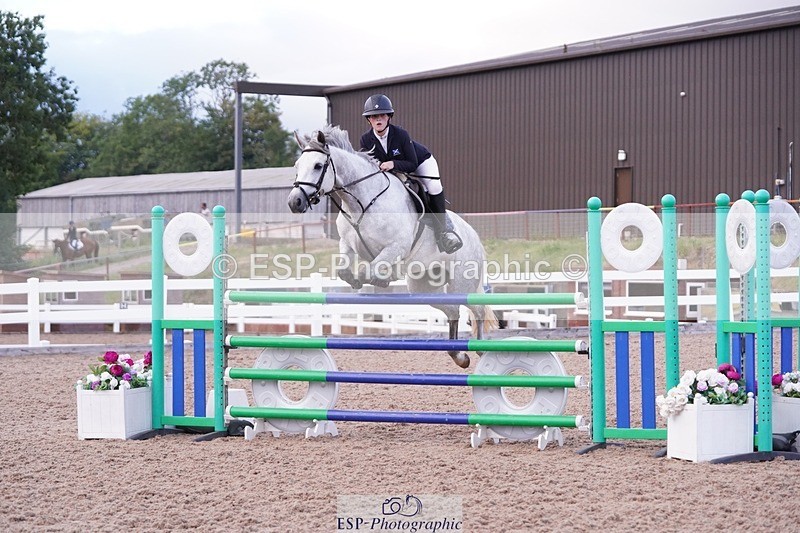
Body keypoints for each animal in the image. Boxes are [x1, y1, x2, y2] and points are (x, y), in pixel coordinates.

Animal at [289, 125, 498, 368]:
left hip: (461, 283)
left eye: (317, 165)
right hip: (424, 287)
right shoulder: (347, 245)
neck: (362, 201)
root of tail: (474, 235)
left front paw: (378, 278)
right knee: (453, 310)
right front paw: (366, 280)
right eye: (297, 166)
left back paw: (480, 349)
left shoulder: (395, 247)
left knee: (478, 310)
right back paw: (460, 356)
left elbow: (369, 270)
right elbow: (344, 270)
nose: (294, 202)